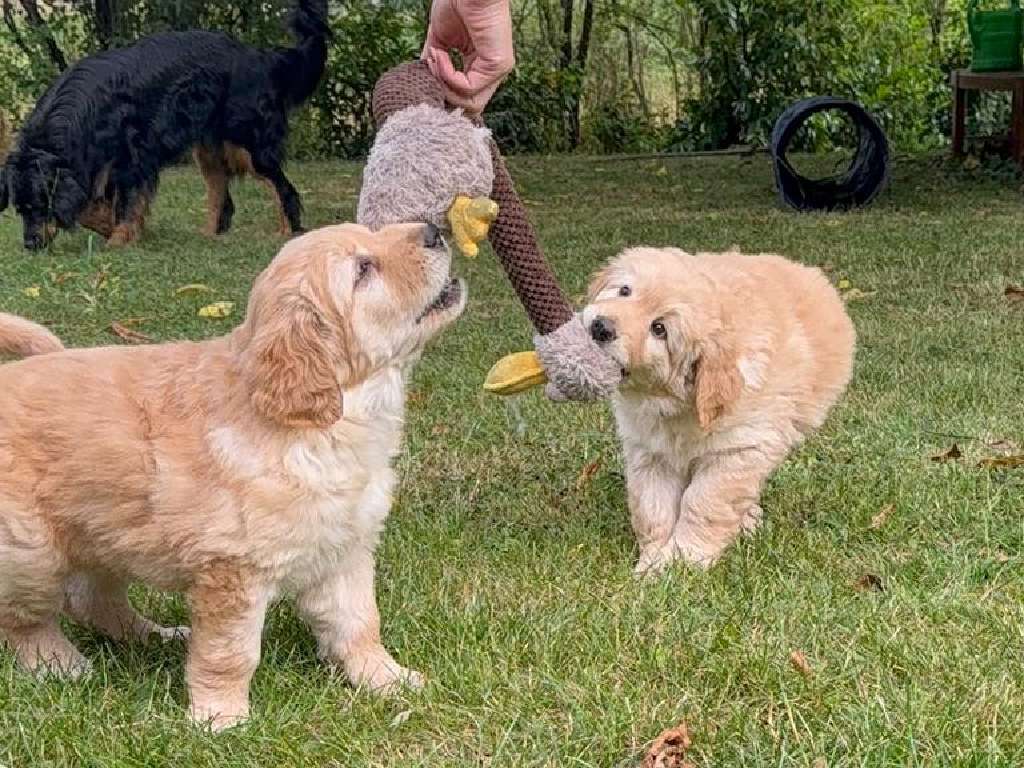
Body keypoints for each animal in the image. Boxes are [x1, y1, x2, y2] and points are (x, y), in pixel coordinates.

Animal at [0, 0, 328, 250]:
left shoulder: (133, 158)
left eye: (40, 207)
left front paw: (118, 238)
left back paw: (287, 231)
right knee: (220, 191)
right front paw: (112, 227)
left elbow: (123, 203)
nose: (30, 244)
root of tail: (262, 57)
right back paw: (209, 234)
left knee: (281, 187)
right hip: (208, 147)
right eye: (21, 210)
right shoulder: (99, 162)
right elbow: (92, 207)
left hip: (247, 142)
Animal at [0, 222, 465, 729]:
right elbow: (231, 653)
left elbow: (360, 623)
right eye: (363, 270)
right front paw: (220, 718)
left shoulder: (343, 549)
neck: (332, 422)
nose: (434, 230)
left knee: (91, 599)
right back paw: (59, 664)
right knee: (24, 619)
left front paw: (386, 679)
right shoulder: (232, 570)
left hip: (102, 527)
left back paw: (155, 635)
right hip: (31, 550)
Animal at [583, 247, 855, 574]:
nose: (601, 327)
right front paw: (652, 564)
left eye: (659, 329)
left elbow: (703, 504)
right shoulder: (650, 453)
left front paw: (684, 561)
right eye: (625, 291)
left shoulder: (738, 451)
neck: (675, 406)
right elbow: (652, 508)